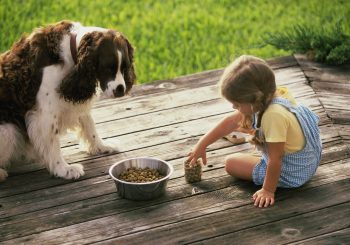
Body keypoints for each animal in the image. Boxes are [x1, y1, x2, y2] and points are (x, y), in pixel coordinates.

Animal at [0, 21, 136, 181]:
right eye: (108, 68)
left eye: (125, 67)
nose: (121, 89)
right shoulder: (45, 114)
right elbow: (53, 143)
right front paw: (63, 169)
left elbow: (90, 126)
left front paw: (101, 146)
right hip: (9, 131)